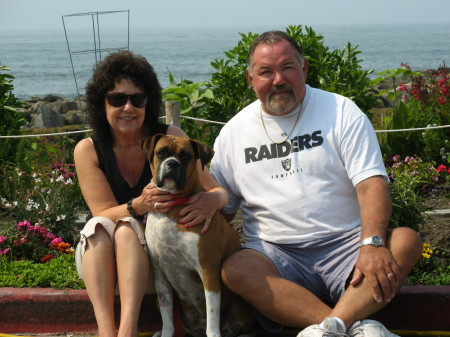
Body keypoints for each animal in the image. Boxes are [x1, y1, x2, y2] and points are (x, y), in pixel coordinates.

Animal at [141, 134, 253, 336]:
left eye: (185, 156)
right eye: (161, 153)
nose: (172, 163)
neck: (174, 205)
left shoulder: (208, 272)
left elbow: (212, 320)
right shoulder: (160, 277)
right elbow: (168, 319)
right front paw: (165, 332)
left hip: (239, 305)